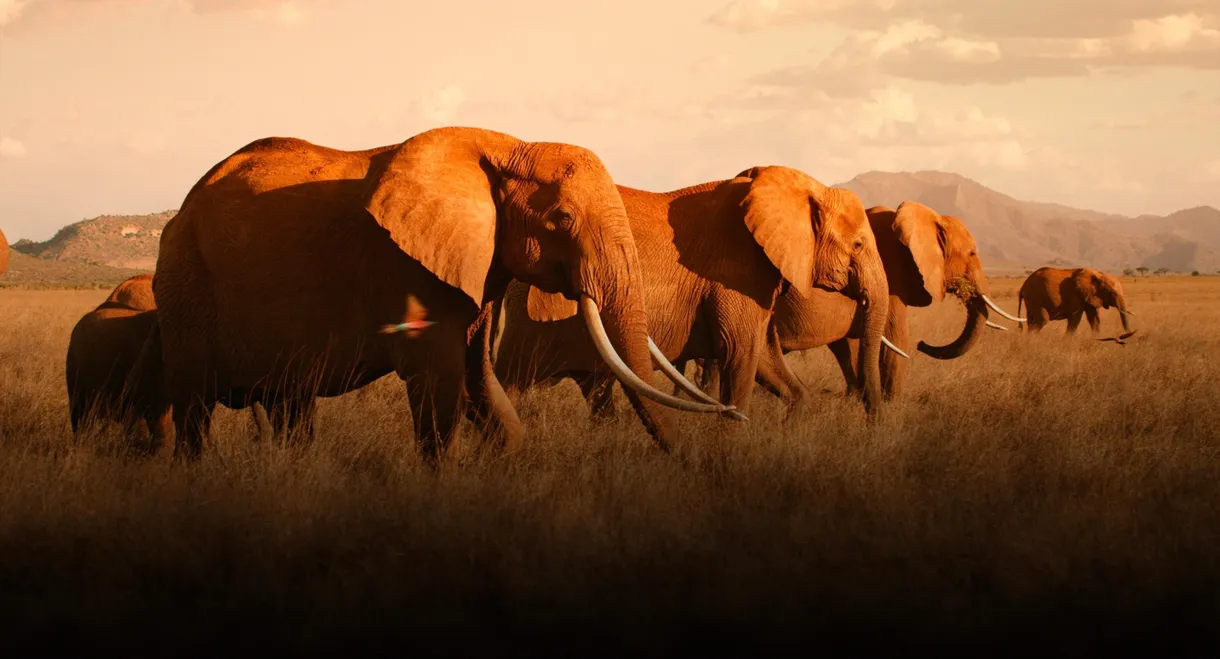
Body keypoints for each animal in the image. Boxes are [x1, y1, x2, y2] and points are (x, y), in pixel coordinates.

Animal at [148, 127, 730, 465]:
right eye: (563, 218)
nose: (689, 464)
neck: (505, 144)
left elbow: (477, 378)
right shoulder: (408, 269)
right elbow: (440, 378)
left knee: (289, 403)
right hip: (185, 284)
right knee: (195, 407)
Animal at [490, 165, 894, 423]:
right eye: (858, 245)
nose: (873, 424)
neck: (799, 187)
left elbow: (765, 357)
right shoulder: (735, 273)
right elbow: (741, 354)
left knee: (597, 392)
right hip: (529, 323)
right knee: (511, 381)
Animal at [678, 201, 1025, 403]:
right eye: (972, 254)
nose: (925, 344)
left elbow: (850, 347)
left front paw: (857, 399)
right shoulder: (891, 277)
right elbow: (894, 343)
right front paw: (890, 408)